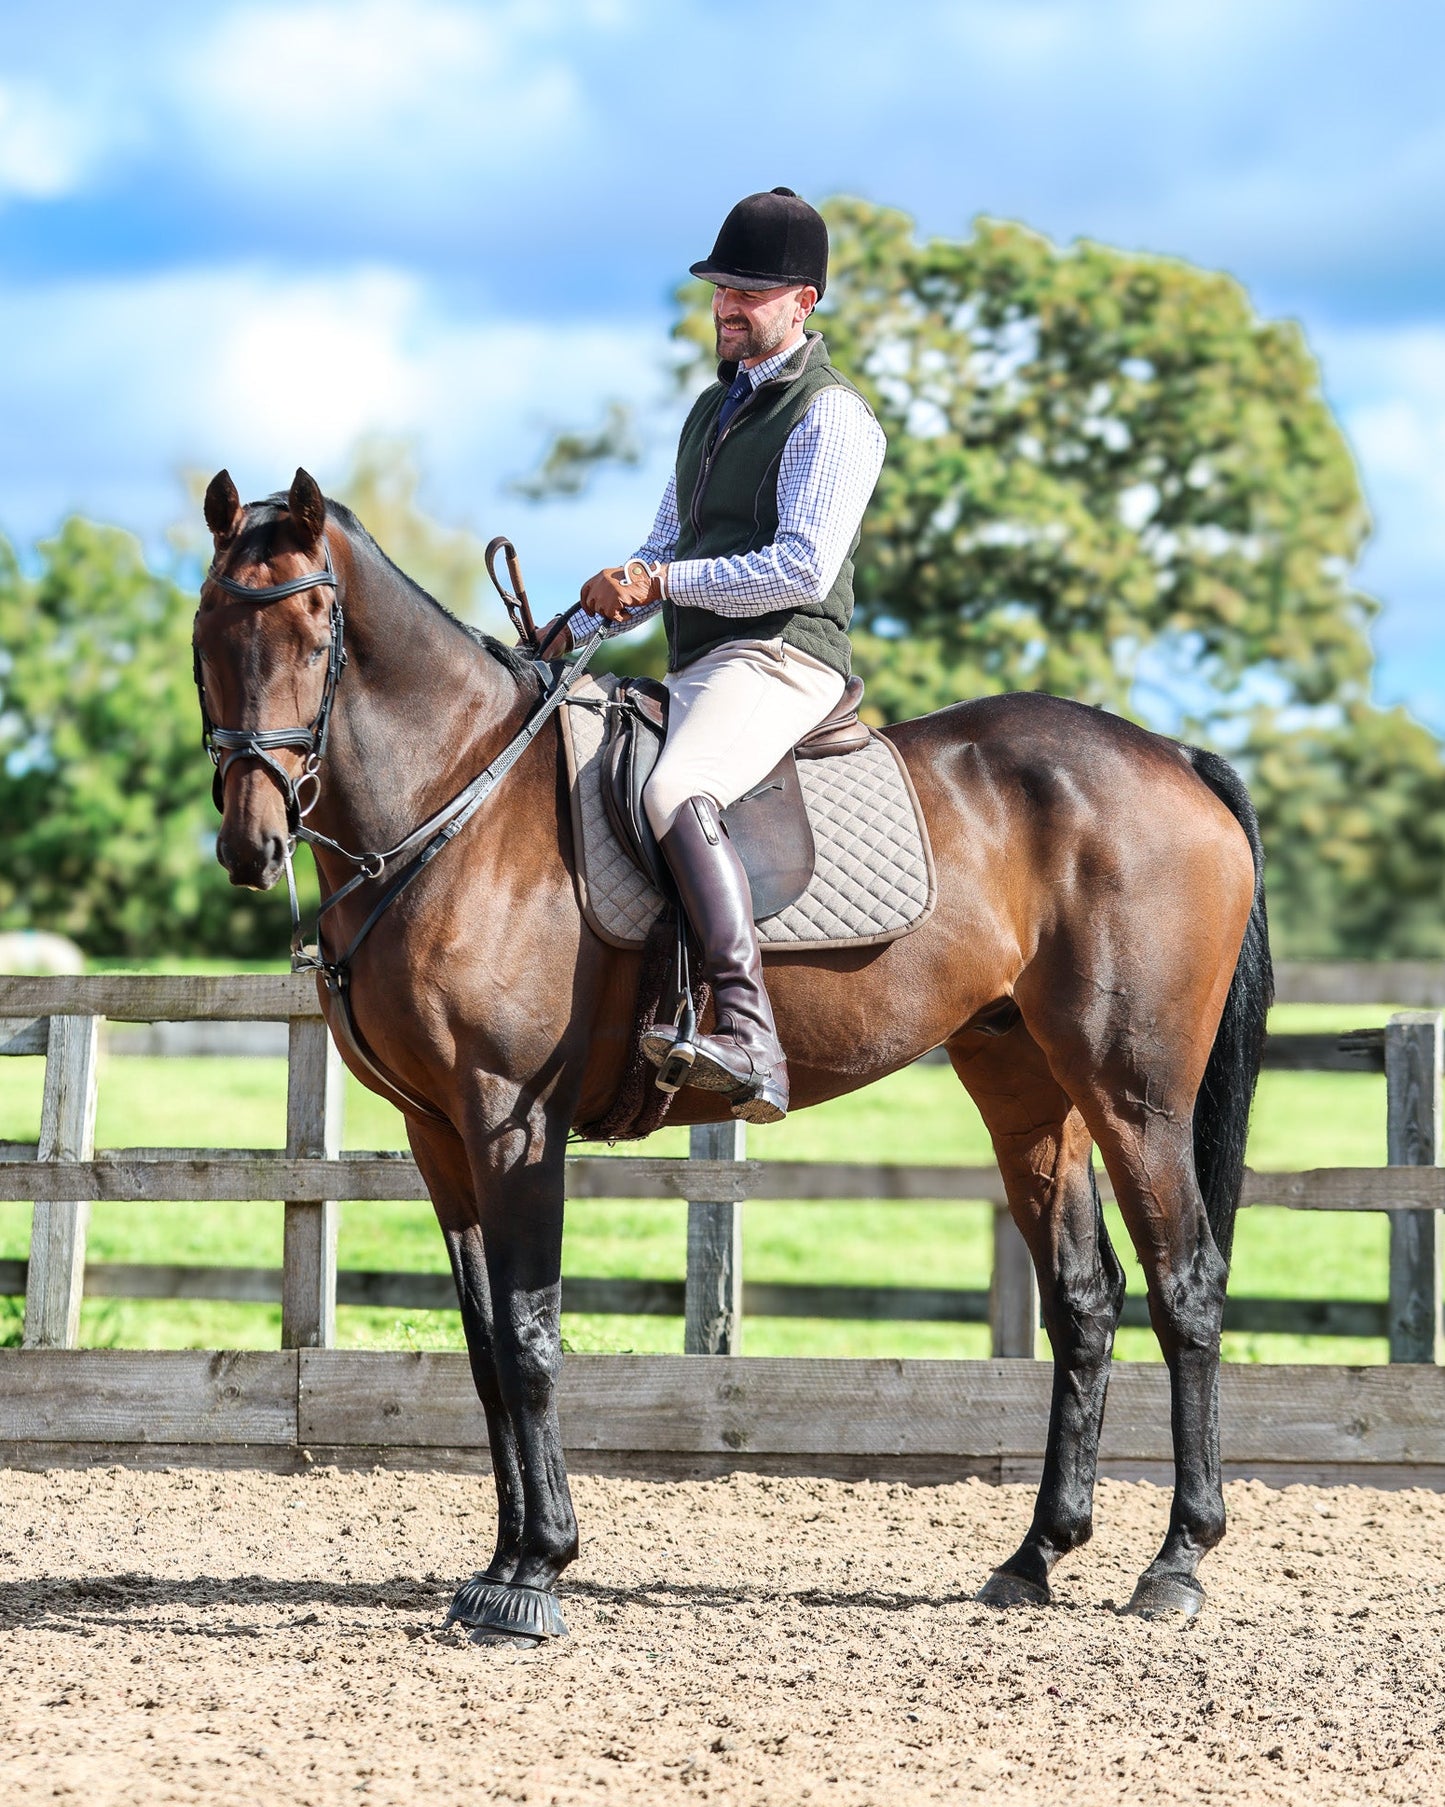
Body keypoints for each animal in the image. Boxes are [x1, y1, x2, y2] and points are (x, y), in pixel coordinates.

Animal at [192, 466, 1271, 1642]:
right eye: (207, 631)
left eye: (314, 631)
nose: (249, 843)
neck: (455, 803)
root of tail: (1171, 757)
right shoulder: (438, 1135)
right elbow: (483, 1352)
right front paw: (502, 1557)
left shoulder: (513, 1122)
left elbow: (528, 1336)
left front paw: (536, 1571)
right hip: (1028, 1090)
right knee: (1084, 1295)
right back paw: (1034, 1555)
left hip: (1135, 1094)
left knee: (1185, 1285)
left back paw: (1177, 1559)